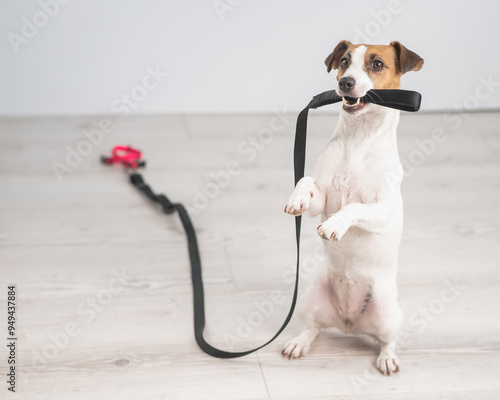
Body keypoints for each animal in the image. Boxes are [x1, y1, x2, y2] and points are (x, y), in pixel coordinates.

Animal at [284, 41, 424, 376]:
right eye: (344, 62)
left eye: (377, 64)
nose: (345, 83)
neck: (359, 139)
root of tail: (348, 323)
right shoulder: (322, 198)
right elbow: (306, 181)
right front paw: (296, 198)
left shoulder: (382, 210)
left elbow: (355, 206)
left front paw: (336, 224)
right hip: (310, 301)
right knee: (312, 328)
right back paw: (299, 343)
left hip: (389, 315)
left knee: (387, 340)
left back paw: (387, 358)